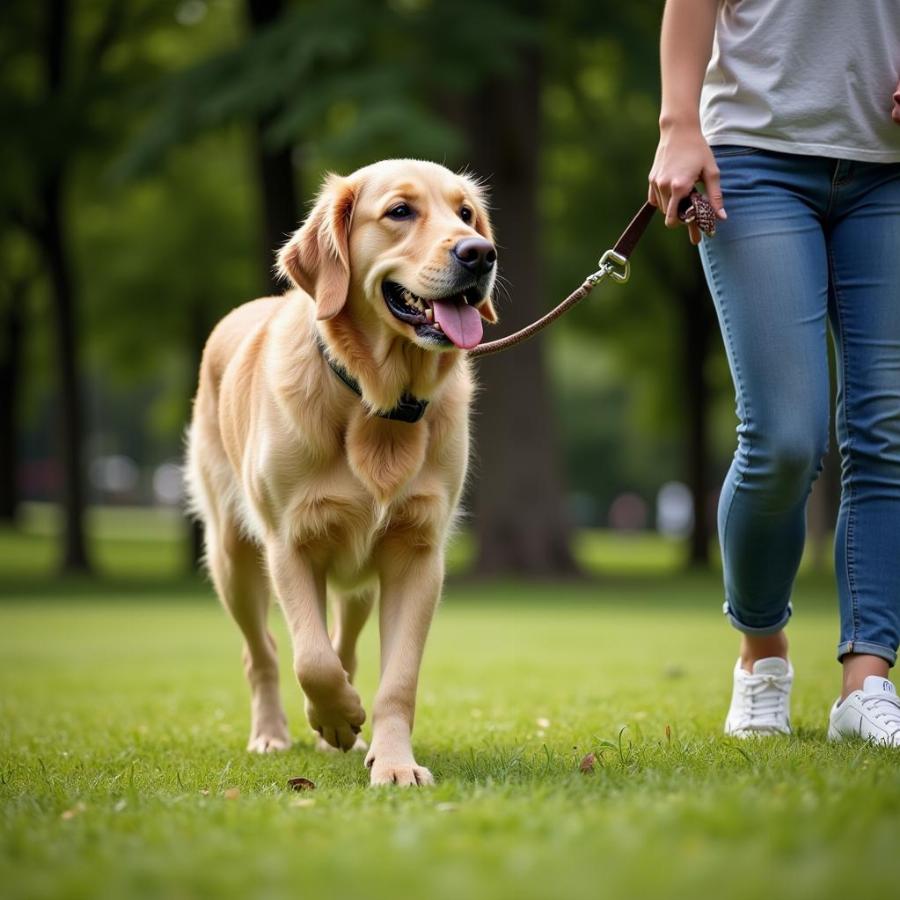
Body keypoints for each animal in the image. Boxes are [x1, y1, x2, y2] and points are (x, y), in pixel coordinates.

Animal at [187, 158, 500, 784]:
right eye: (400, 211)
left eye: (466, 214)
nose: (480, 254)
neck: (376, 400)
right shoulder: (288, 543)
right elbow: (311, 658)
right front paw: (334, 717)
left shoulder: (417, 552)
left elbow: (396, 678)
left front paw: (394, 762)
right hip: (231, 555)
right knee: (261, 652)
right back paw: (272, 734)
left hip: (358, 583)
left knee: (346, 644)